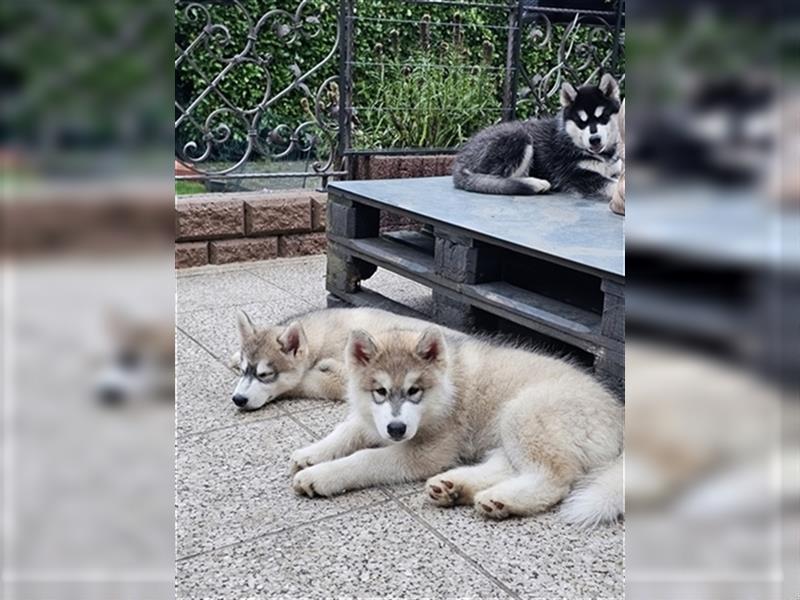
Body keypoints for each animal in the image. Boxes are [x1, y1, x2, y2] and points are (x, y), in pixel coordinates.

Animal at [231, 310, 456, 412]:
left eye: (265, 375)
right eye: (243, 371)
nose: (238, 399)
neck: (322, 337)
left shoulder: (343, 379)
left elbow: (306, 382)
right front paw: (234, 357)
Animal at [290, 326, 620, 528]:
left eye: (414, 391)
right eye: (380, 392)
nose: (397, 429)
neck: (447, 390)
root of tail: (618, 415)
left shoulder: (426, 452)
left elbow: (365, 458)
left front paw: (322, 475)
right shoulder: (373, 421)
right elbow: (346, 430)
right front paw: (312, 453)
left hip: (523, 414)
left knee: (553, 478)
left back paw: (500, 499)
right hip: (506, 429)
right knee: (507, 467)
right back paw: (454, 487)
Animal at [454, 73, 620, 200]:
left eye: (603, 117)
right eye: (581, 122)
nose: (594, 140)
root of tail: (461, 159)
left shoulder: (615, 171)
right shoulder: (578, 176)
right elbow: (611, 184)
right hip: (519, 138)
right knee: (498, 179)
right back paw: (534, 183)